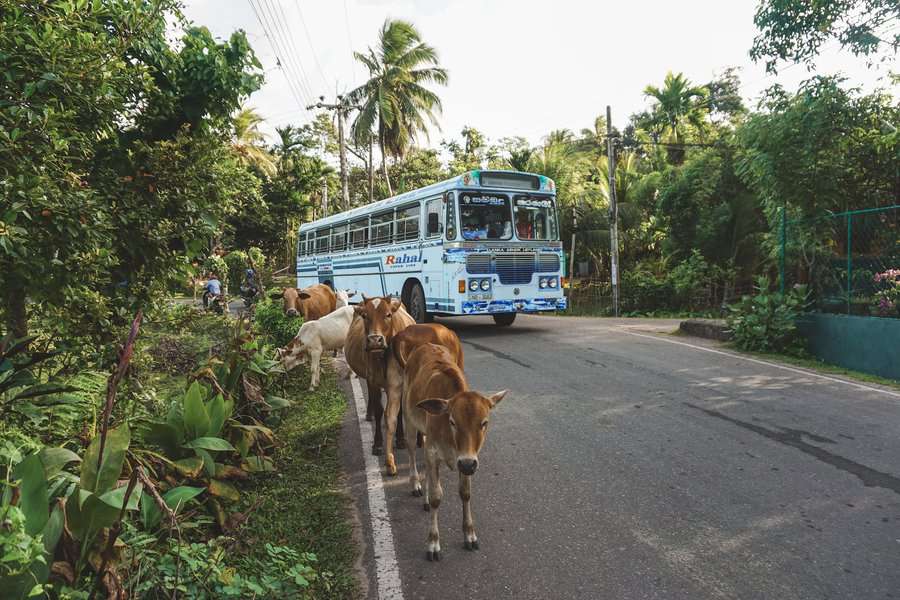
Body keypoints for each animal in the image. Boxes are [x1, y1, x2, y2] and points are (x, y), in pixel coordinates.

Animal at [400, 342, 506, 564]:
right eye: (452, 421)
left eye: (484, 423)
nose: (467, 464)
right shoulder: (434, 452)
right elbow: (436, 496)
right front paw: (433, 543)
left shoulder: (466, 460)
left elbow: (465, 493)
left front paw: (469, 534)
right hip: (409, 419)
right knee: (412, 451)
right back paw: (416, 484)